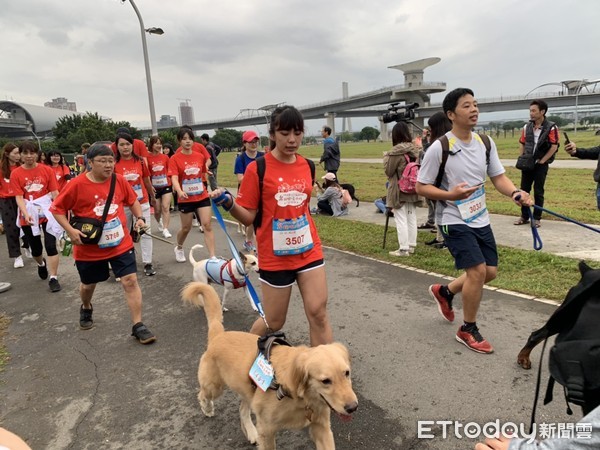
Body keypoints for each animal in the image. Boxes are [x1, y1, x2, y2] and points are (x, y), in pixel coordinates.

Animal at [180, 284, 358, 448]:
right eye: (325, 381)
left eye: (347, 373)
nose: (353, 407)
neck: (298, 395)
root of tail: (219, 334)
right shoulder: (267, 429)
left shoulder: (321, 427)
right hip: (214, 386)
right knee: (202, 395)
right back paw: (207, 408)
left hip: (248, 391)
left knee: (242, 410)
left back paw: (251, 432)